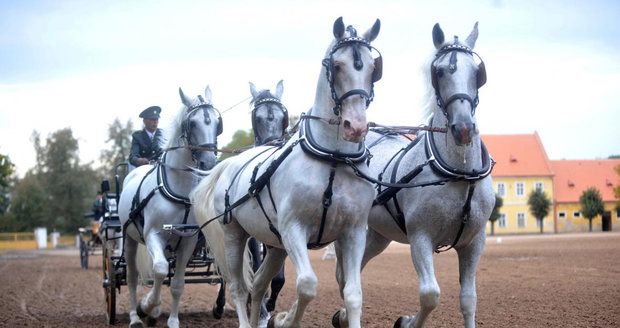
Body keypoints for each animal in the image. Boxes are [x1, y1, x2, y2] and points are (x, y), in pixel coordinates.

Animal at [117, 85, 223, 328]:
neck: (180, 190)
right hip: (129, 238)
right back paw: (135, 316)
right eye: (191, 123)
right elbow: (159, 270)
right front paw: (147, 306)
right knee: (133, 277)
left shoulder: (188, 241)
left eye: (217, 122)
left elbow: (177, 283)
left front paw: (172, 320)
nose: (209, 163)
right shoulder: (153, 235)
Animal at [193, 18, 382, 328]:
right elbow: (307, 285)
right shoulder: (294, 228)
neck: (333, 160)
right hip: (235, 235)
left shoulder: (353, 232)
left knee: (258, 284)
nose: (355, 126)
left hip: (275, 244)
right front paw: (285, 320)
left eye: (372, 67)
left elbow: (354, 294)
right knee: (238, 287)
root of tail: (229, 165)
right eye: (336, 65)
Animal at [334, 22, 494, 328]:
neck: (459, 173)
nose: (463, 128)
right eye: (439, 71)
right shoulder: (421, 236)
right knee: (343, 274)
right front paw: (406, 322)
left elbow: (469, 299)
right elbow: (430, 294)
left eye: (476, 72)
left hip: (378, 235)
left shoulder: (474, 241)